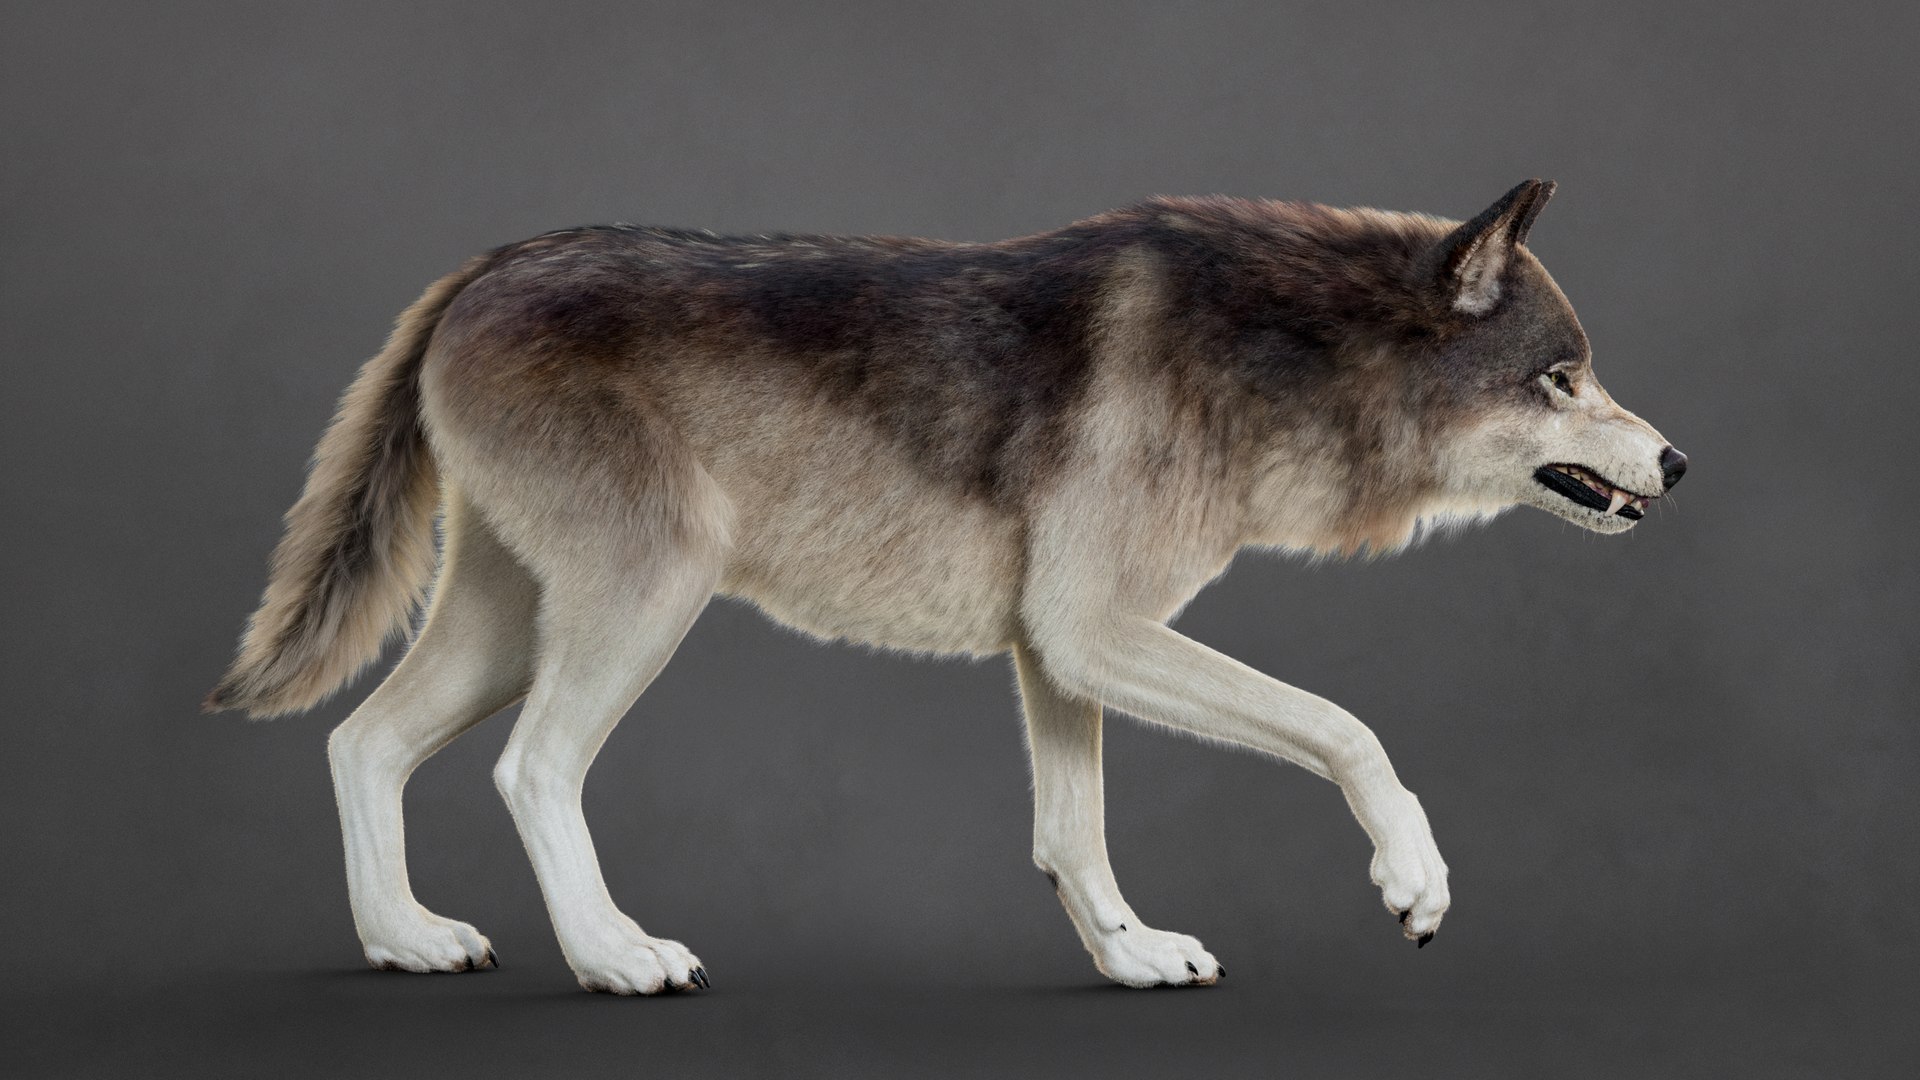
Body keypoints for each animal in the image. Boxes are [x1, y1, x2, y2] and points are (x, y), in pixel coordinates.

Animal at [207, 179, 1685, 993]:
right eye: (1562, 378)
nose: (1677, 460)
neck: (1281, 353)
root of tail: (484, 265)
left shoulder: (1057, 650)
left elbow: (1073, 835)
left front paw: (1129, 958)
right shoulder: (1096, 631)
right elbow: (1349, 729)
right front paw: (1412, 880)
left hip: (510, 625)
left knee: (361, 743)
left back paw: (403, 940)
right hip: (642, 605)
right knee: (530, 771)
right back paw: (616, 959)